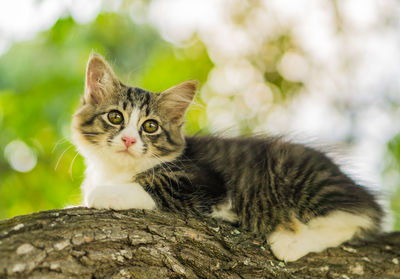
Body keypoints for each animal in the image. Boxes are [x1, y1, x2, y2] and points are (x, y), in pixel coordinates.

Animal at [72, 54, 384, 262]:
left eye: (150, 126)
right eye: (115, 117)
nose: (128, 140)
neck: (116, 169)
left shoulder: (205, 182)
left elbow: (153, 185)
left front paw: (105, 193)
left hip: (298, 175)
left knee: (356, 216)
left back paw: (289, 240)